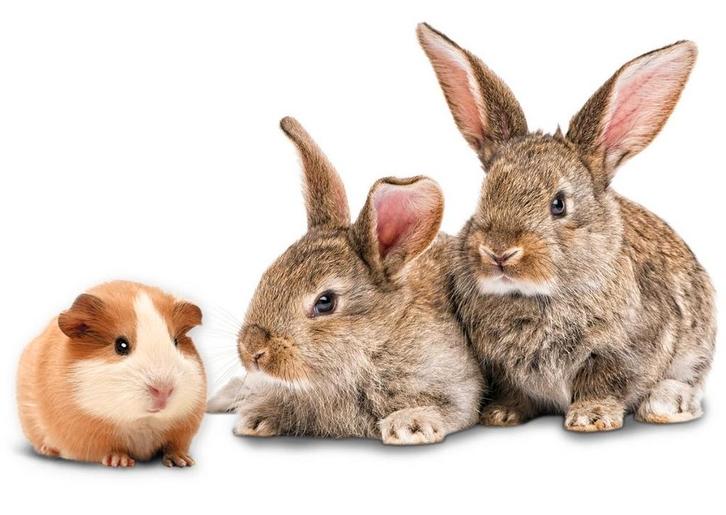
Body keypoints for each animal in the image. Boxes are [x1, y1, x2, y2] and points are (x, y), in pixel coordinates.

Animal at [17, 281, 206, 467]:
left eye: (175, 342)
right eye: (121, 345)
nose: (163, 390)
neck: (143, 421)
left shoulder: (182, 428)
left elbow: (174, 445)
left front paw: (183, 461)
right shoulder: (88, 435)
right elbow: (110, 449)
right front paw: (121, 462)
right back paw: (47, 450)